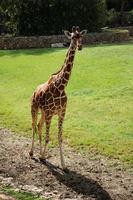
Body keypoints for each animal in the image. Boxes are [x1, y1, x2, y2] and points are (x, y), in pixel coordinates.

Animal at [29, 25, 87, 169]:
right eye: (72, 37)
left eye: (81, 36)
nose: (79, 46)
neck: (61, 86)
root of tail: (34, 91)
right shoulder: (50, 113)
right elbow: (48, 137)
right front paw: (42, 156)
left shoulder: (61, 112)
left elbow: (60, 137)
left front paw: (63, 165)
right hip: (34, 108)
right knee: (33, 126)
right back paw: (32, 153)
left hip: (44, 112)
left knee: (39, 126)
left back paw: (39, 153)